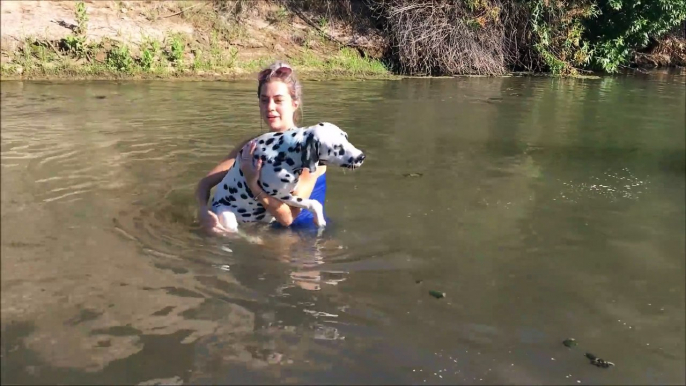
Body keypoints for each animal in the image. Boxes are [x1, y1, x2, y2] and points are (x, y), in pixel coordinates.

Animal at [212, 122, 368, 234]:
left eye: (346, 137)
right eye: (337, 147)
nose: (361, 156)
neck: (281, 152)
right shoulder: (280, 194)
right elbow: (314, 203)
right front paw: (320, 220)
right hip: (228, 218)